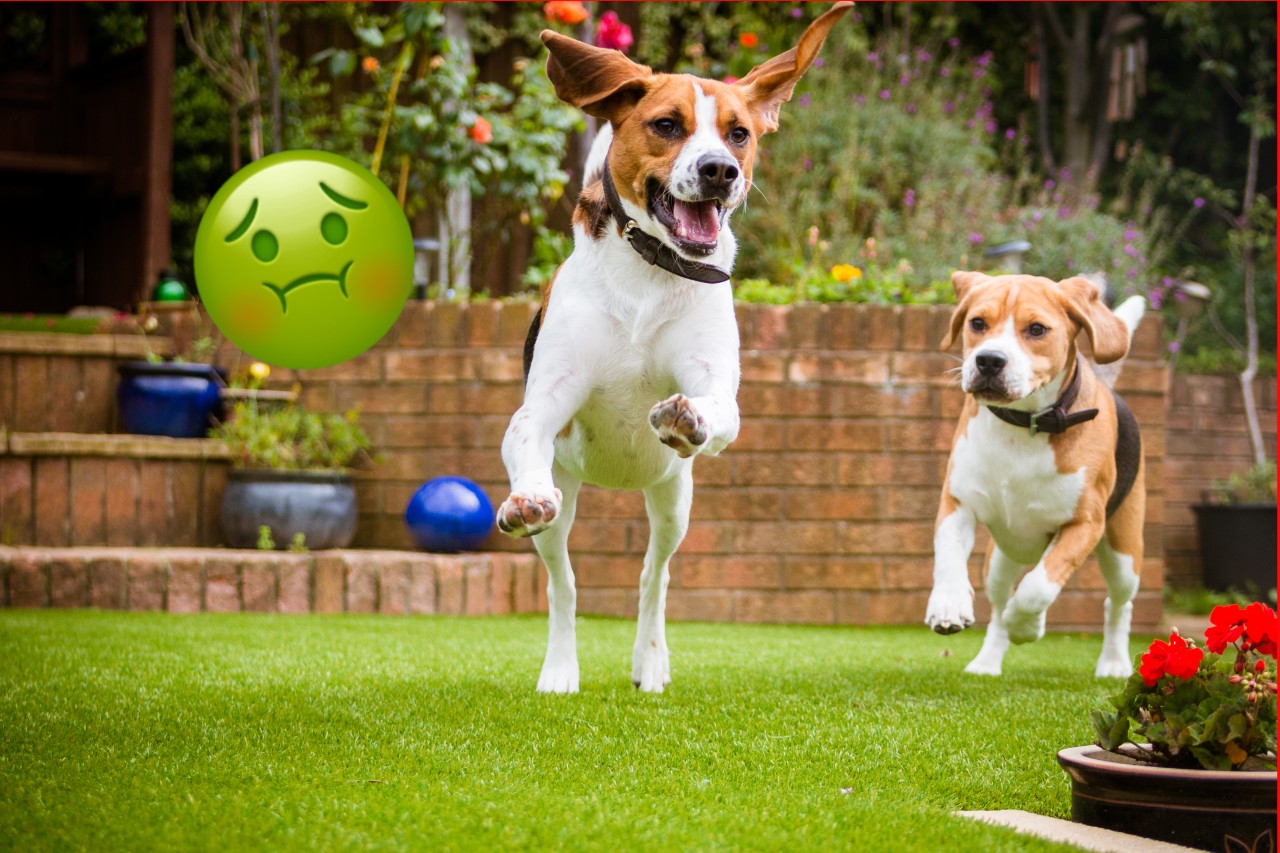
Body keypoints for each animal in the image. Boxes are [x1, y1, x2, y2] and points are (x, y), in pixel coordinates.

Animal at [496, 4, 849, 691]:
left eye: (738, 134)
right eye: (666, 126)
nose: (720, 171)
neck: (650, 273)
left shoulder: (717, 390)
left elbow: (715, 408)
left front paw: (686, 417)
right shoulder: (545, 407)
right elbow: (525, 432)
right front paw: (523, 495)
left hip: (673, 500)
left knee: (652, 578)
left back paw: (650, 660)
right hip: (567, 498)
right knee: (564, 583)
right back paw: (560, 667)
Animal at [921, 268, 1152, 676]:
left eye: (1037, 329)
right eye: (977, 323)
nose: (989, 361)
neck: (1025, 425)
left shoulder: (1084, 525)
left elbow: (1038, 588)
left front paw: (1027, 626)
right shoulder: (957, 501)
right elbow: (948, 555)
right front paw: (948, 604)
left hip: (1123, 553)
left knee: (1117, 605)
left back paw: (1113, 662)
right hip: (1000, 559)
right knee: (999, 607)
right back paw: (987, 661)